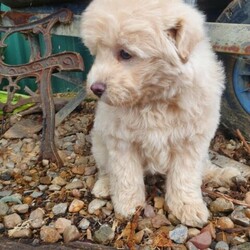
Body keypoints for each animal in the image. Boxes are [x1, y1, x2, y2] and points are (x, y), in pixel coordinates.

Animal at [80, 0, 240, 227]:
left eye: (125, 54)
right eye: (96, 53)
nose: (95, 88)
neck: (155, 100)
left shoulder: (191, 141)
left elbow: (185, 175)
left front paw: (187, 206)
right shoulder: (121, 140)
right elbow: (125, 174)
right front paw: (129, 205)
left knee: (204, 167)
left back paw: (224, 175)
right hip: (99, 144)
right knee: (105, 168)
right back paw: (104, 186)